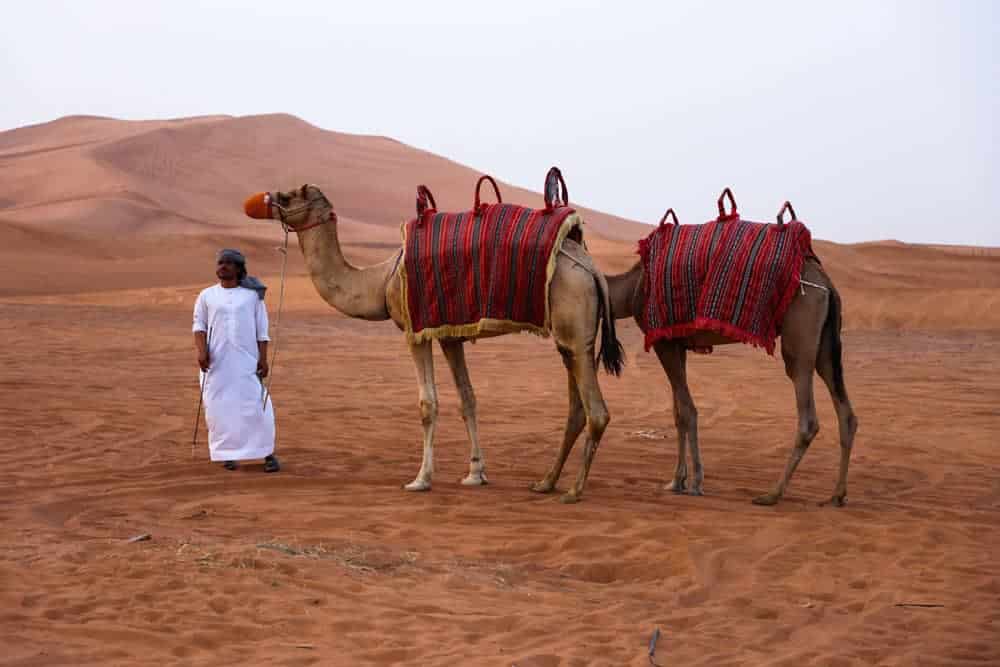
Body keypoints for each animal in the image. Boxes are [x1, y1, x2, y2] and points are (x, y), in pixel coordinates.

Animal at [244, 180, 616, 504]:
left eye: (288, 196)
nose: (260, 201)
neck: (381, 280)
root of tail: (591, 268)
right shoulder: (449, 333)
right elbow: (468, 398)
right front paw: (475, 474)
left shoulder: (415, 330)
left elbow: (428, 403)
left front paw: (420, 479)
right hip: (568, 339)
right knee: (576, 408)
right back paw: (546, 482)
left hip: (575, 326)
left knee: (596, 411)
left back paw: (573, 491)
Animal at [600, 209, 860, 506]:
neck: (632, 286)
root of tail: (827, 283)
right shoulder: (677, 343)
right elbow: (678, 413)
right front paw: (676, 481)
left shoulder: (663, 342)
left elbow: (688, 411)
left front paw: (695, 483)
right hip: (826, 341)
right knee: (845, 410)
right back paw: (837, 495)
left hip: (801, 326)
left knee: (807, 412)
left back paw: (772, 494)